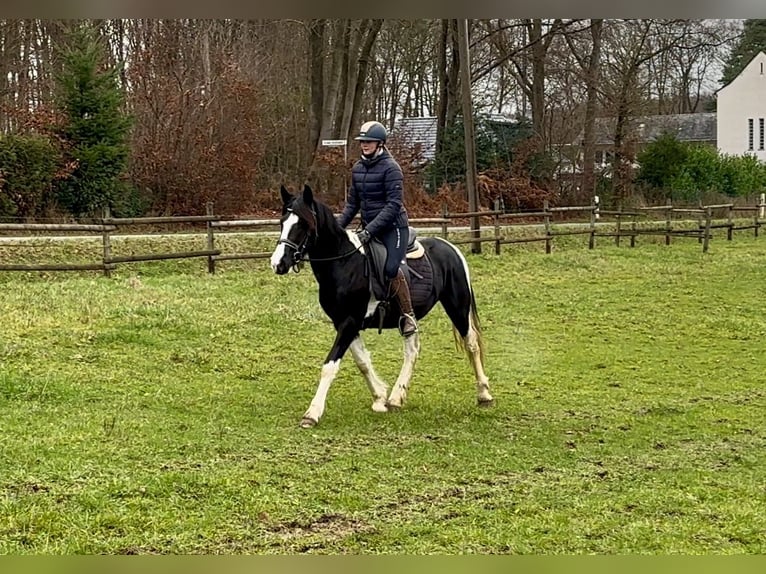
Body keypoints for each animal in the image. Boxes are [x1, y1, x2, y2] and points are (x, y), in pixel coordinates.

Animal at [272, 184, 496, 428]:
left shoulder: (349, 322)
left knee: (471, 344)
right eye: (282, 222)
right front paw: (380, 398)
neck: (344, 263)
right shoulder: (344, 323)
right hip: (408, 319)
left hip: (458, 307)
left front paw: (312, 414)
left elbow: (329, 366)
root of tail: (450, 248)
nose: (278, 263)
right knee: (412, 350)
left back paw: (484, 394)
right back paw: (397, 397)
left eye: (303, 224)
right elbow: (362, 361)